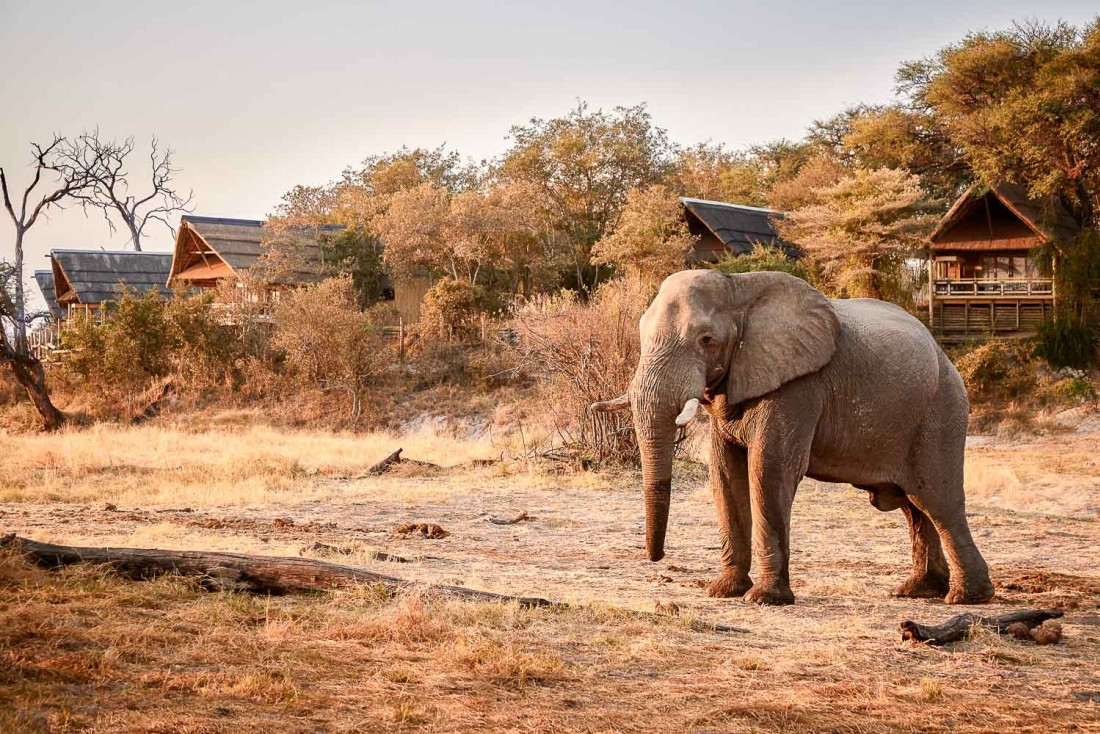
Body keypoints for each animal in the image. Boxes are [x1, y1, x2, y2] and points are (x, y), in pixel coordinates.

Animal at [594, 269, 998, 607]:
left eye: (706, 340)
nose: (656, 557)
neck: (738, 287)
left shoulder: (799, 386)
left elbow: (768, 470)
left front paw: (763, 599)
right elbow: (724, 474)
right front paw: (723, 591)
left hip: (941, 412)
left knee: (937, 500)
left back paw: (965, 599)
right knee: (915, 507)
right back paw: (918, 591)